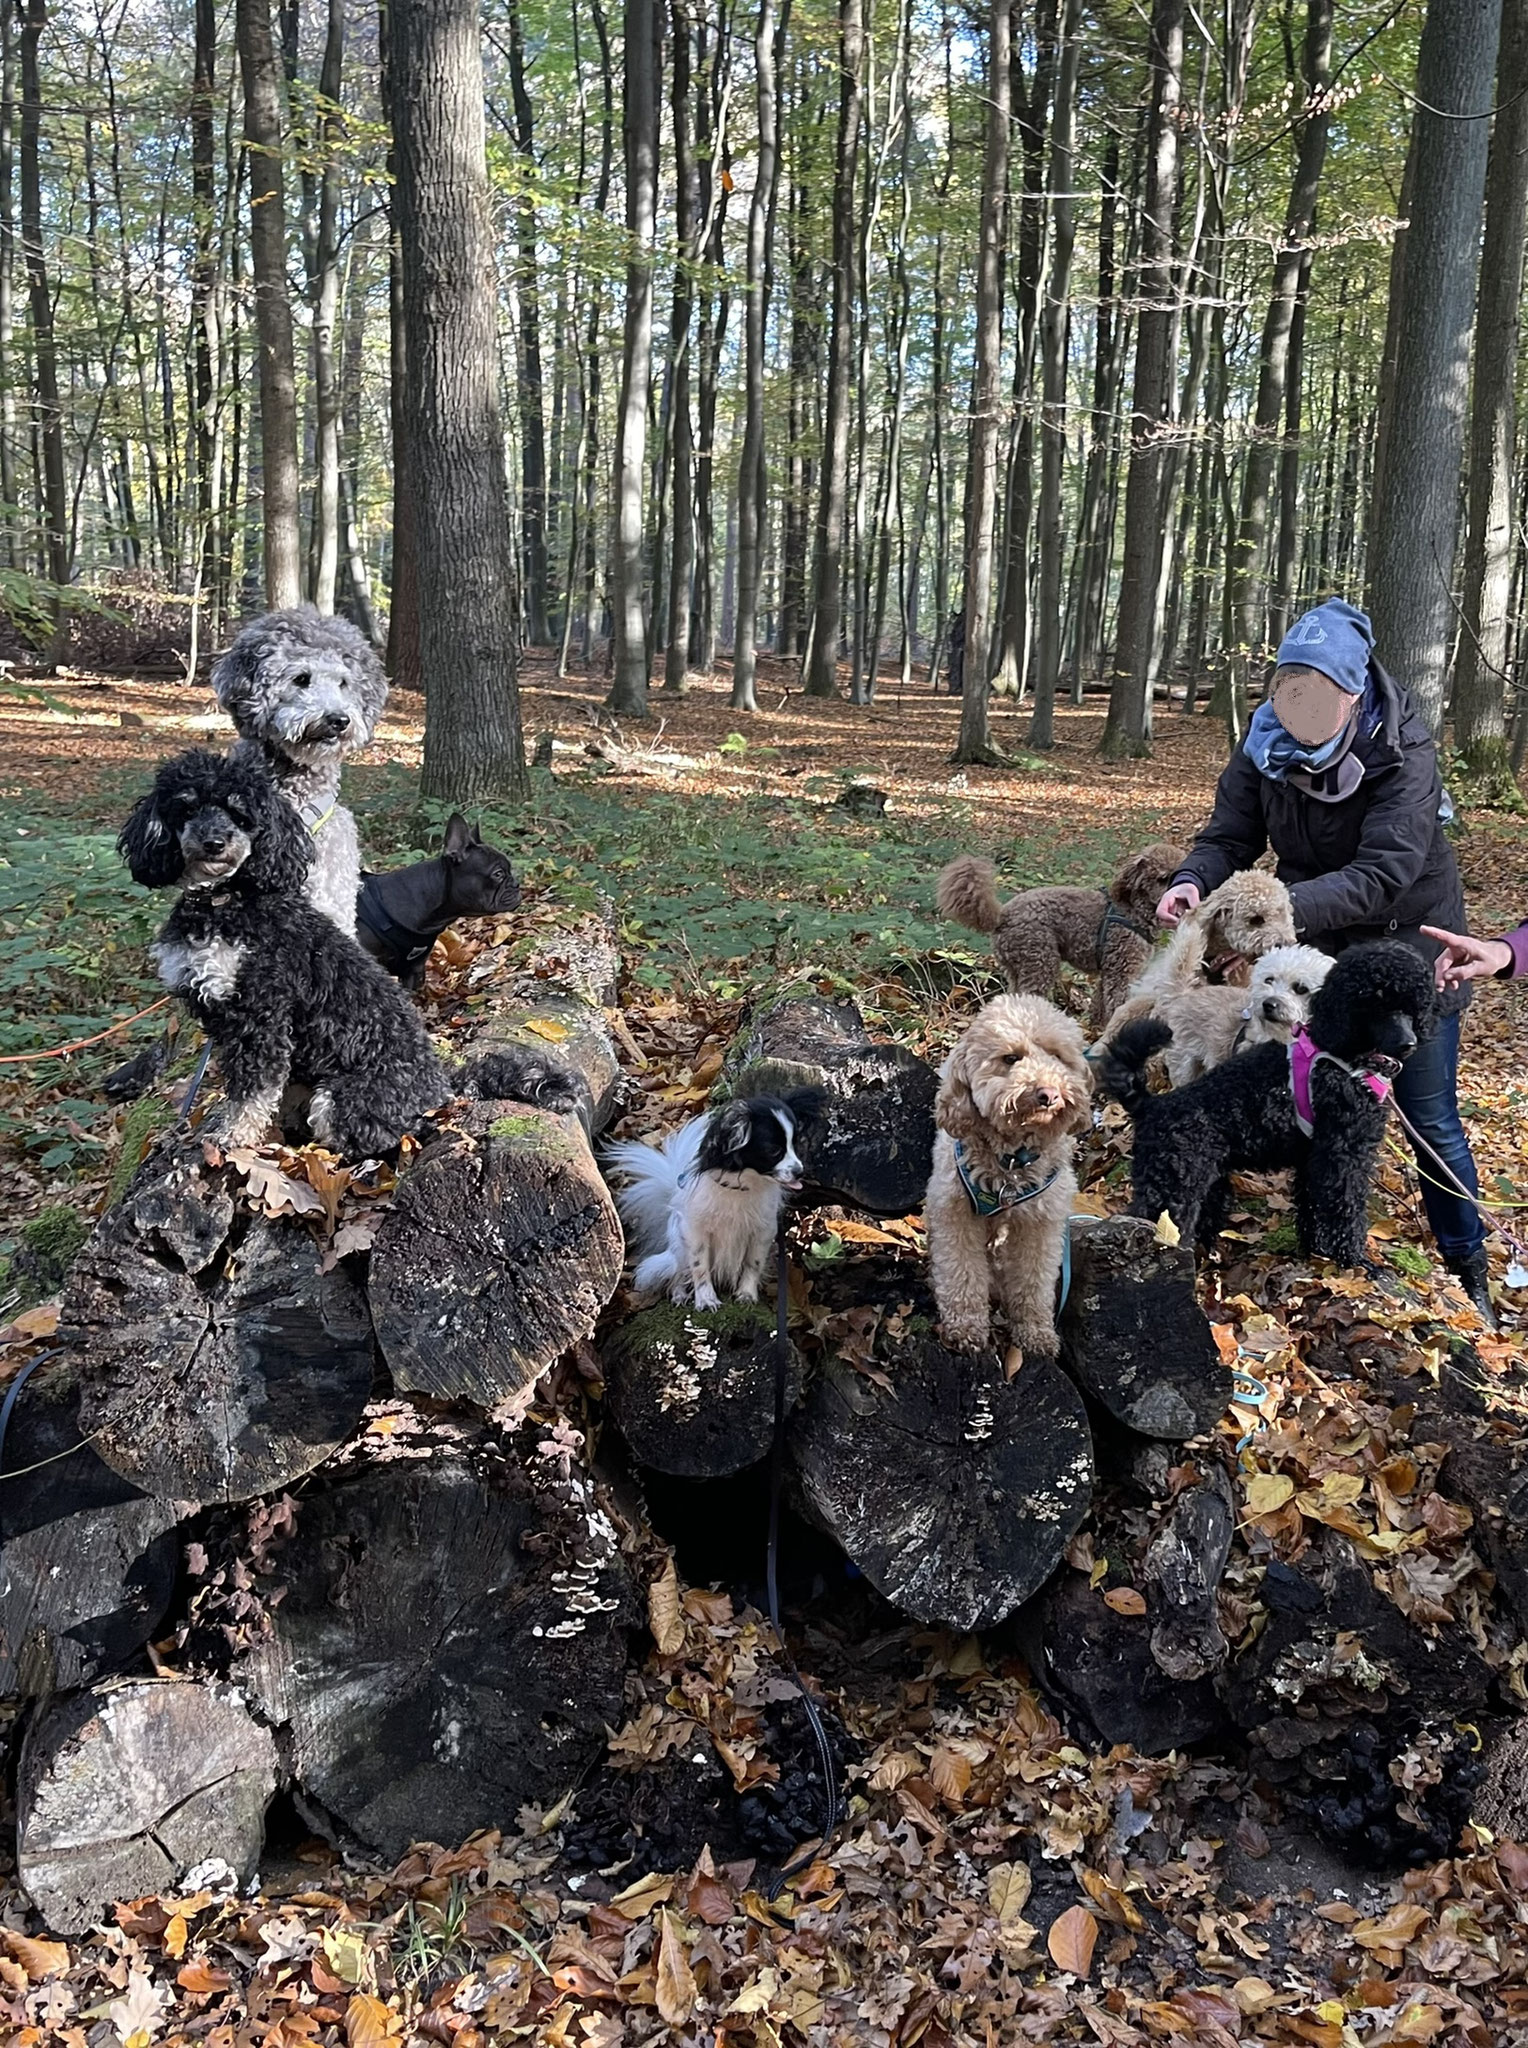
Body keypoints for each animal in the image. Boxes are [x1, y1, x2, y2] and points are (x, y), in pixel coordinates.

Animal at [602, 1089, 823, 1310]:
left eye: (796, 1145)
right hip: (679, 1246)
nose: (800, 1172)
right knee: (678, 1272)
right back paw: (679, 1294)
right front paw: (706, 1299)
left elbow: (753, 1263)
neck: (739, 1187)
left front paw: (746, 1294)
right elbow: (700, 1267)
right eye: (774, 1151)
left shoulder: (762, 1231)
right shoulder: (695, 1232)